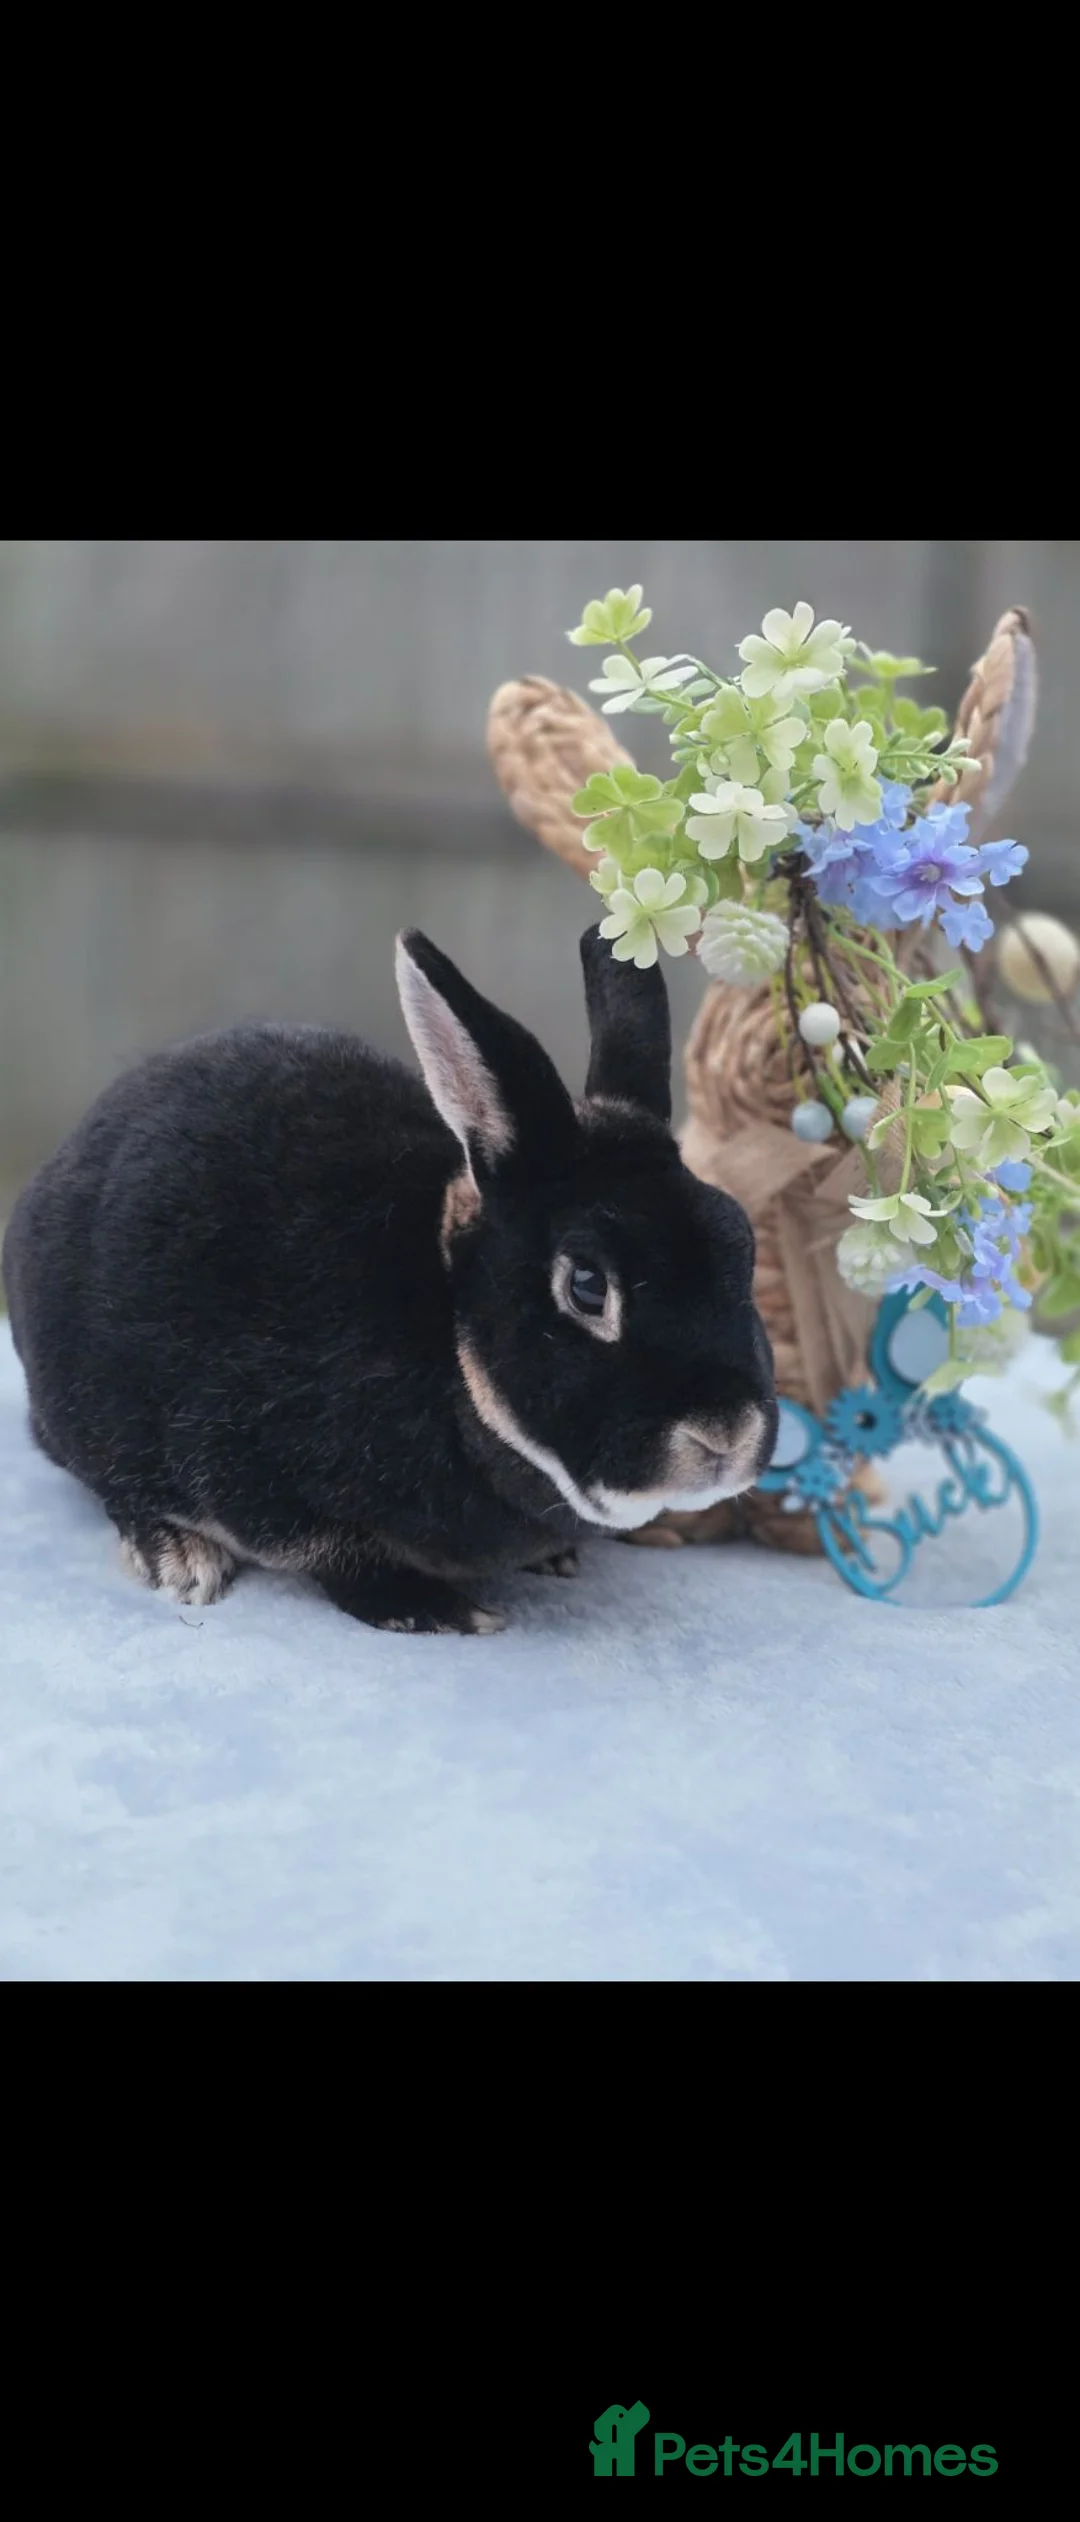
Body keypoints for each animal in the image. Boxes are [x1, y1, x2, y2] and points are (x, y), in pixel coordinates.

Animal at [2, 923, 778, 1635]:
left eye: (741, 1243)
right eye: (587, 1286)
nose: (724, 1433)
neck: (444, 1338)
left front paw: (549, 1557)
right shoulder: (247, 1468)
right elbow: (333, 1553)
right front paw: (447, 1611)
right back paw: (180, 1557)